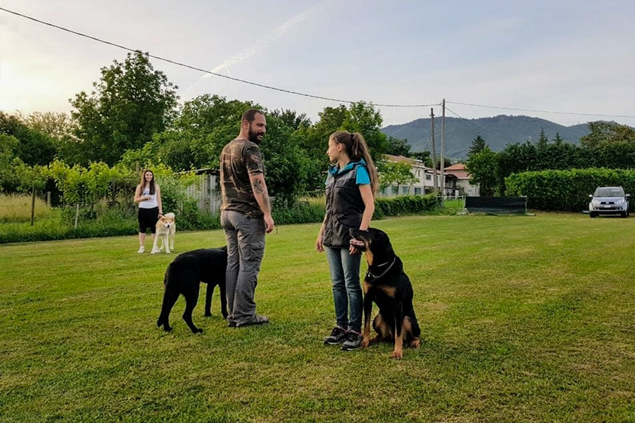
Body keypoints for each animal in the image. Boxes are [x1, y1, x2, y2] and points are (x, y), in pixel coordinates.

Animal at [348, 230, 422, 360]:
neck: (378, 268)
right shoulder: (367, 298)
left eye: (367, 231)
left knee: (412, 335)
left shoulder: (397, 303)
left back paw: (414, 342)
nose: (350, 229)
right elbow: (366, 325)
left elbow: (399, 333)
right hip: (377, 319)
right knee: (382, 336)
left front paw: (397, 352)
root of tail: (390, 336)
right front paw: (365, 341)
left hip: (408, 320)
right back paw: (373, 339)